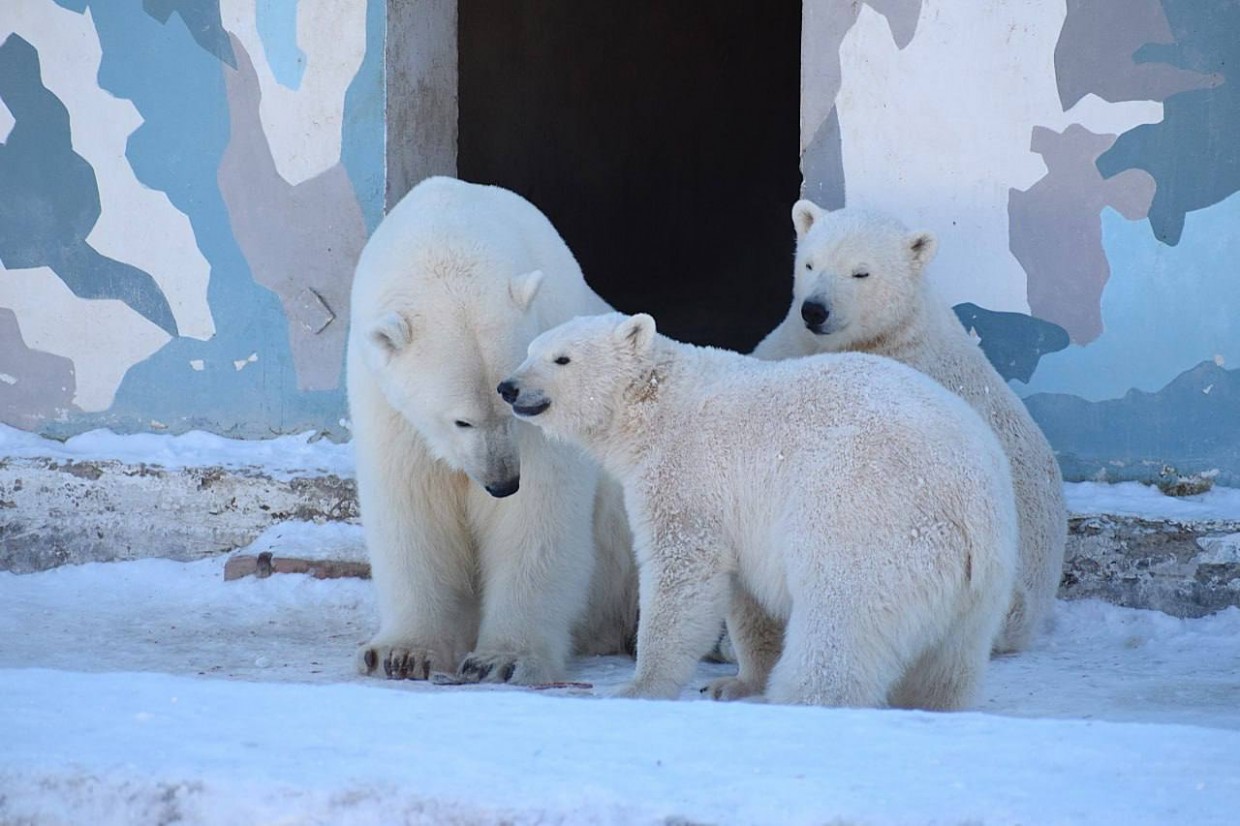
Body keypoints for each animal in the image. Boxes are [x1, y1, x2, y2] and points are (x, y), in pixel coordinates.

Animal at [349, 174, 639, 679]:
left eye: (511, 399)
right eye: (461, 420)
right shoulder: (387, 405)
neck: (450, 230)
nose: (503, 483)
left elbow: (536, 514)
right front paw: (401, 653)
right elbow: (411, 506)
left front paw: (503, 660)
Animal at [496, 312, 1016, 704]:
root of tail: (970, 500)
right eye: (529, 349)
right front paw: (735, 683)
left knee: (840, 620)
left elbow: (682, 571)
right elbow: (748, 596)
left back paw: (803, 696)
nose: (508, 387)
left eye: (561, 357)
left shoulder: (689, 472)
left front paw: (639, 687)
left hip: (866, 518)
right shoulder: (743, 512)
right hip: (981, 587)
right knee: (950, 665)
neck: (657, 405)